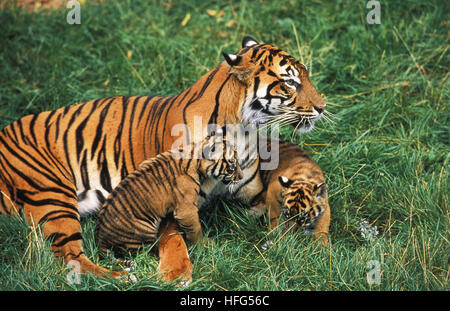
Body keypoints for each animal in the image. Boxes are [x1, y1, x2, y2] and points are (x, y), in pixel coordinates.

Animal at [95, 133, 243, 280]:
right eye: (231, 167)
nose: (241, 177)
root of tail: (100, 239)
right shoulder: (186, 209)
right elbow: (196, 229)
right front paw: (203, 245)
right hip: (144, 230)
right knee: (140, 252)